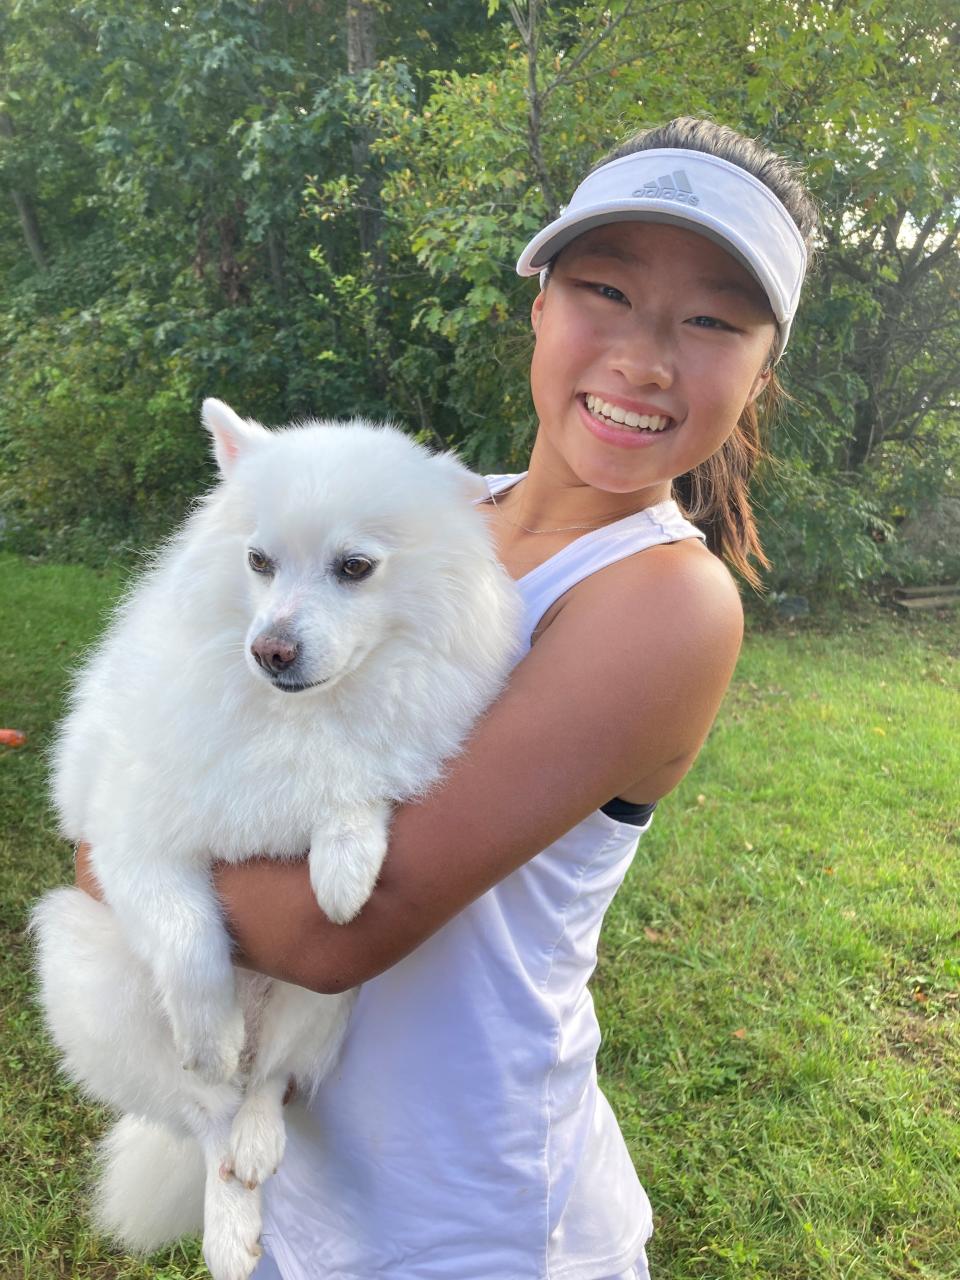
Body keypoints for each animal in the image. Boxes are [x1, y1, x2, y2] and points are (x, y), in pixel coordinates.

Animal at [30, 399, 522, 1280]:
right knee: (203, 1112)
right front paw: (210, 1031)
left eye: (355, 568)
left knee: (266, 1087)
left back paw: (256, 1145)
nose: (271, 649)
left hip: (329, 989)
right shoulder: (136, 845)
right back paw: (228, 1219)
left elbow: (353, 786)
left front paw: (344, 864)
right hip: (92, 973)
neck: (293, 715)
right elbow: (190, 940)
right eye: (258, 562)